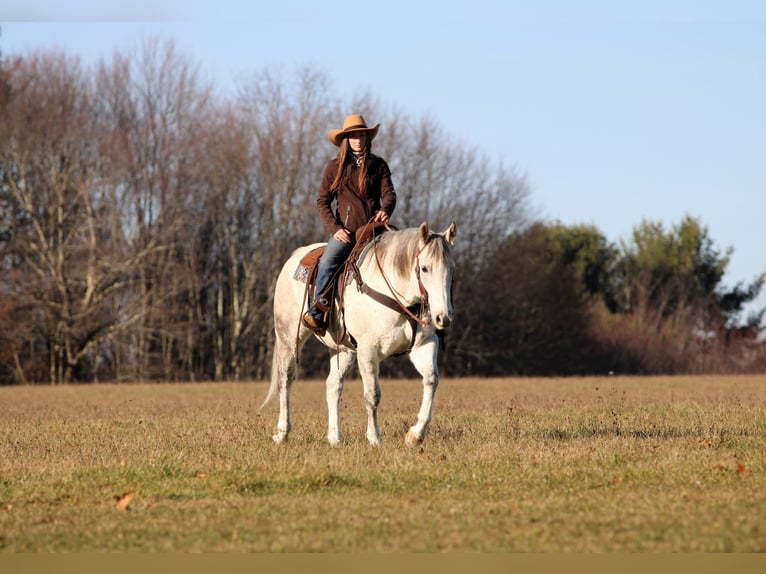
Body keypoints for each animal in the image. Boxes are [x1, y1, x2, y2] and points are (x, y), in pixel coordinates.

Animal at [261, 221, 457, 446]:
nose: (444, 317)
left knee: (333, 385)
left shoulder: (424, 344)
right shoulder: (368, 350)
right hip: (288, 338)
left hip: (343, 349)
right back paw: (282, 432)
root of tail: (296, 256)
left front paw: (415, 434)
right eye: (424, 268)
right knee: (286, 380)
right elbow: (372, 395)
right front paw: (374, 438)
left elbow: (431, 380)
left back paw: (335, 437)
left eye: (451, 269)